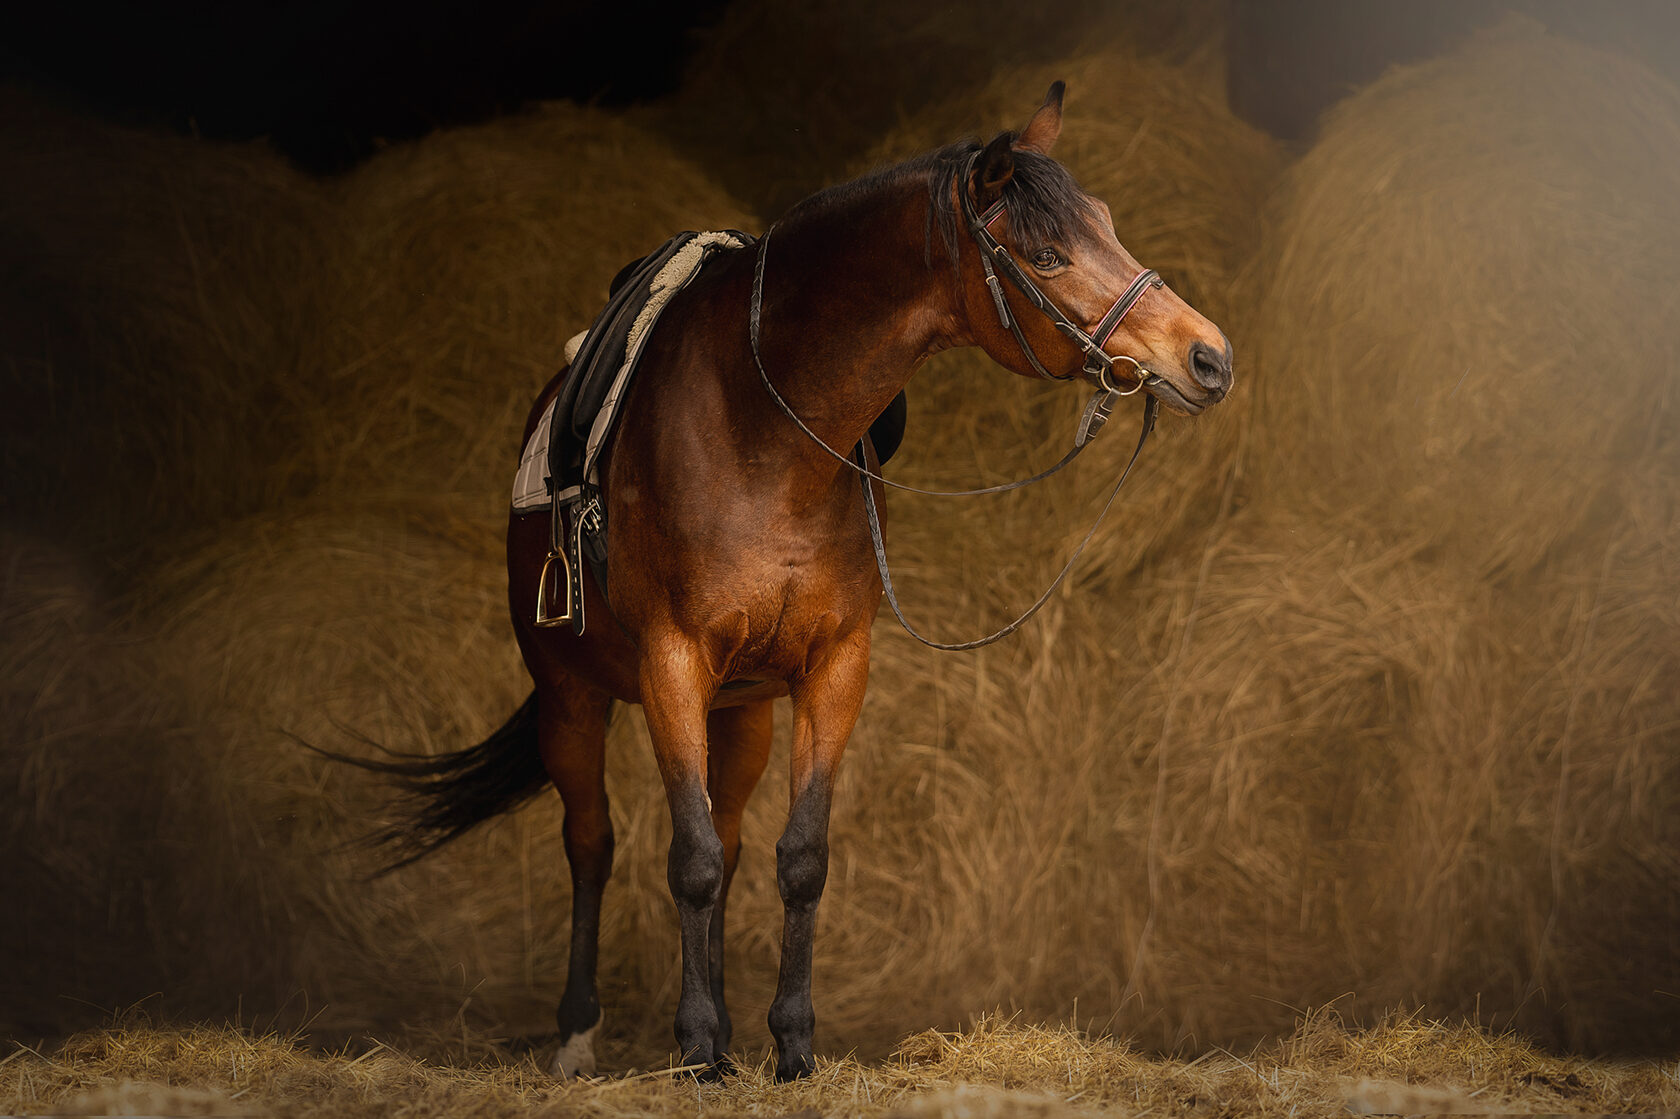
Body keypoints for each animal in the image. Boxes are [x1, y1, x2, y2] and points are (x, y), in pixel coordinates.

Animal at [357, 84, 1236, 1082]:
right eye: (1047, 254)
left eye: (1110, 222)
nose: (1208, 356)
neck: (762, 431)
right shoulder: (670, 665)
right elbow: (688, 858)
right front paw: (698, 1048)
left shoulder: (833, 669)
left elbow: (794, 857)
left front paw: (788, 1043)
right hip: (571, 696)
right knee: (593, 842)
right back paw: (581, 1032)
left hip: (741, 711)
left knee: (732, 840)